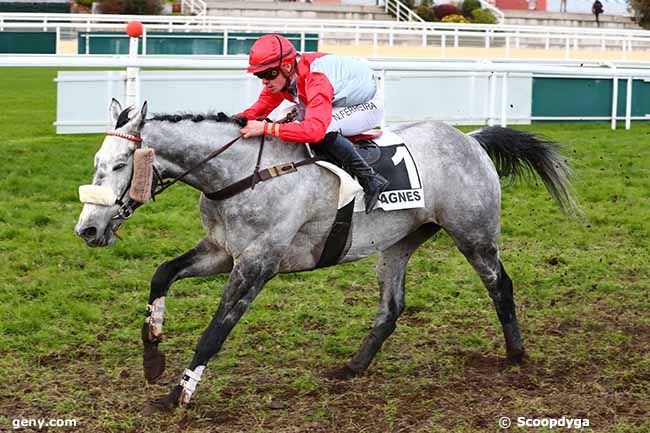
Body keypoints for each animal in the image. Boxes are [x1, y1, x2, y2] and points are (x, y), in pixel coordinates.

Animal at [74, 99, 576, 410]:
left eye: (119, 165)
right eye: (96, 162)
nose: (88, 229)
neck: (242, 173)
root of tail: (470, 139)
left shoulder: (257, 264)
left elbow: (214, 333)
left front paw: (179, 395)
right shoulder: (221, 251)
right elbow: (162, 274)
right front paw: (152, 356)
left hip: (474, 234)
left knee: (500, 285)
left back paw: (516, 355)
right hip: (399, 242)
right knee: (391, 307)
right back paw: (354, 366)